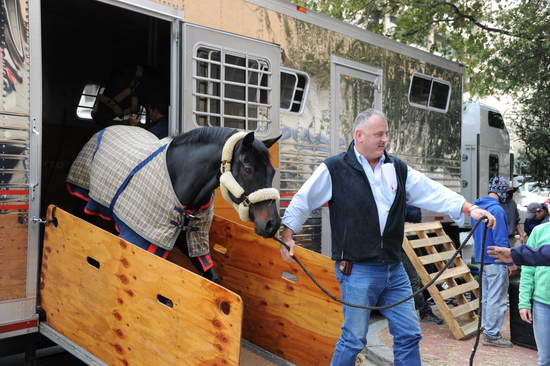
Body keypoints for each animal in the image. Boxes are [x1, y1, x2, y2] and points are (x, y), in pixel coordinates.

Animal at [67, 124, 282, 282]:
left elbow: (212, 278)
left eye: (272, 171)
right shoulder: (138, 240)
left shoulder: (192, 242)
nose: (272, 224)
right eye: (247, 168)